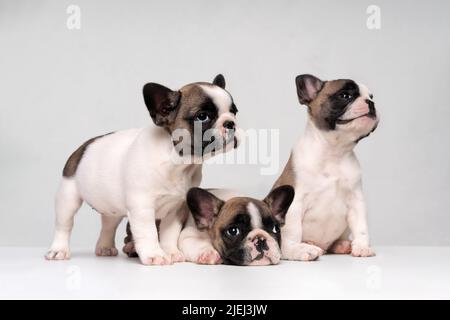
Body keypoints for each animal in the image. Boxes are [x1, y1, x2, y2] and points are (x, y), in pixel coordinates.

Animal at [46, 75, 239, 264]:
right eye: (202, 116)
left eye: (235, 112)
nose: (231, 123)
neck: (178, 162)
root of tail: (82, 147)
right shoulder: (142, 207)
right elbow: (149, 232)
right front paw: (155, 255)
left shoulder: (176, 209)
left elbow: (169, 233)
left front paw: (171, 253)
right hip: (68, 197)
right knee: (64, 225)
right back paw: (59, 250)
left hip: (112, 207)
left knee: (108, 225)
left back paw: (105, 247)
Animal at [122, 185, 296, 264]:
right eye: (233, 231)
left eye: (275, 228)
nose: (260, 239)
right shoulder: (188, 234)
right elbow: (195, 243)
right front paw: (208, 252)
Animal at [274, 74, 380, 262]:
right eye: (345, 95)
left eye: (371, 97)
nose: (371, 103)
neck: (334, 152)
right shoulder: (296, 202)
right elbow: (293, 231)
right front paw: (296, 250)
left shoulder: (356, 201)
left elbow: (361, 227)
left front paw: (362, 246)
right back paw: (308, 244)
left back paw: (342, 245)